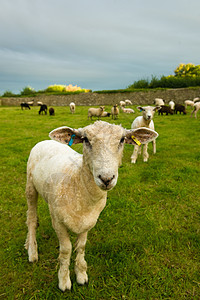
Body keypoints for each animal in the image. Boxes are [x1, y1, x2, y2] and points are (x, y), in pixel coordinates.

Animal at [25, 120, 159, 292]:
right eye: (86, 140)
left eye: (122, 140)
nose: (106, 178)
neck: (77, 183)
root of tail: (46, 141)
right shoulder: (57, 221)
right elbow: (66, 249)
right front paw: (64, 280)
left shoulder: (88, 221)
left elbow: (81, 247)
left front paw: (81, 274)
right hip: (30, 187)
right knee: (31, 219)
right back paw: (32, 251)